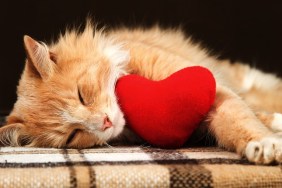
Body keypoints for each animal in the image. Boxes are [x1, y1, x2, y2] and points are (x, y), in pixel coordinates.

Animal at [0, 20, 282, 164]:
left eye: (82, 94)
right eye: (72, 135)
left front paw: (264, 143)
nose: (105, 122)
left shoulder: (216, 93)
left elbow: (241, 121)